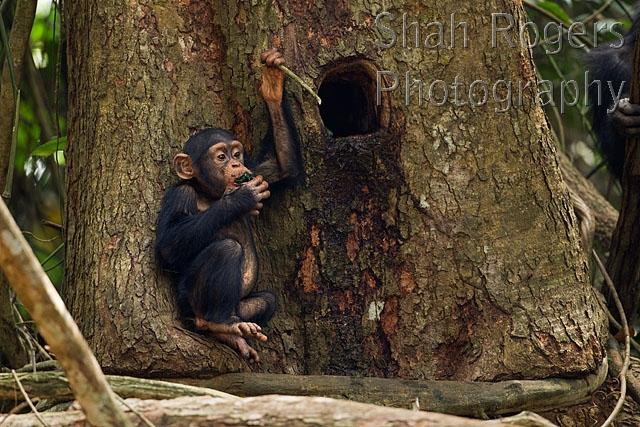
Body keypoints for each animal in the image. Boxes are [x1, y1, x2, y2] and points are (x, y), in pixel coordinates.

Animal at [155, 49, 300, 362]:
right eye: (220, 157)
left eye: (237, 153)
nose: (234, 164)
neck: (208, 192)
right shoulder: (180, 194)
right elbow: (167, 246)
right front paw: (240, 199)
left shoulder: (256, 169)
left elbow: (282, 169)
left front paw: (273, 82)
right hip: (188, 302)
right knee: (226, 250)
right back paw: (217, 323)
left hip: (243, 308)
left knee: (267, 300)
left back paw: (234, 334)